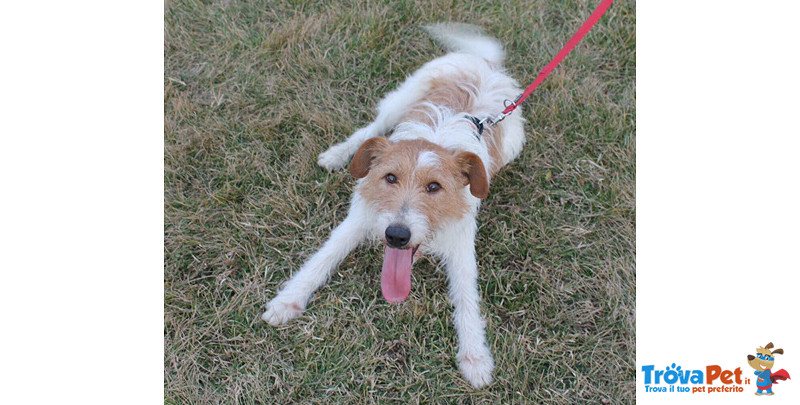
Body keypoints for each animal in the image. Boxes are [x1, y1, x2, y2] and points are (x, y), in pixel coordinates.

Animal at [260, 23, 524, 386]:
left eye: (434, 187)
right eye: (390, 178)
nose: (397, 235)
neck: (435, 140)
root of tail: (487, 65)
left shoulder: (460, 244)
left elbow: (467, 297)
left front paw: (474, 356)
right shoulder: (360, 218)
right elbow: (321, 258)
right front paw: (288, 301)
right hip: (404, 96)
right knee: (372, 128)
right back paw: (338, 154)